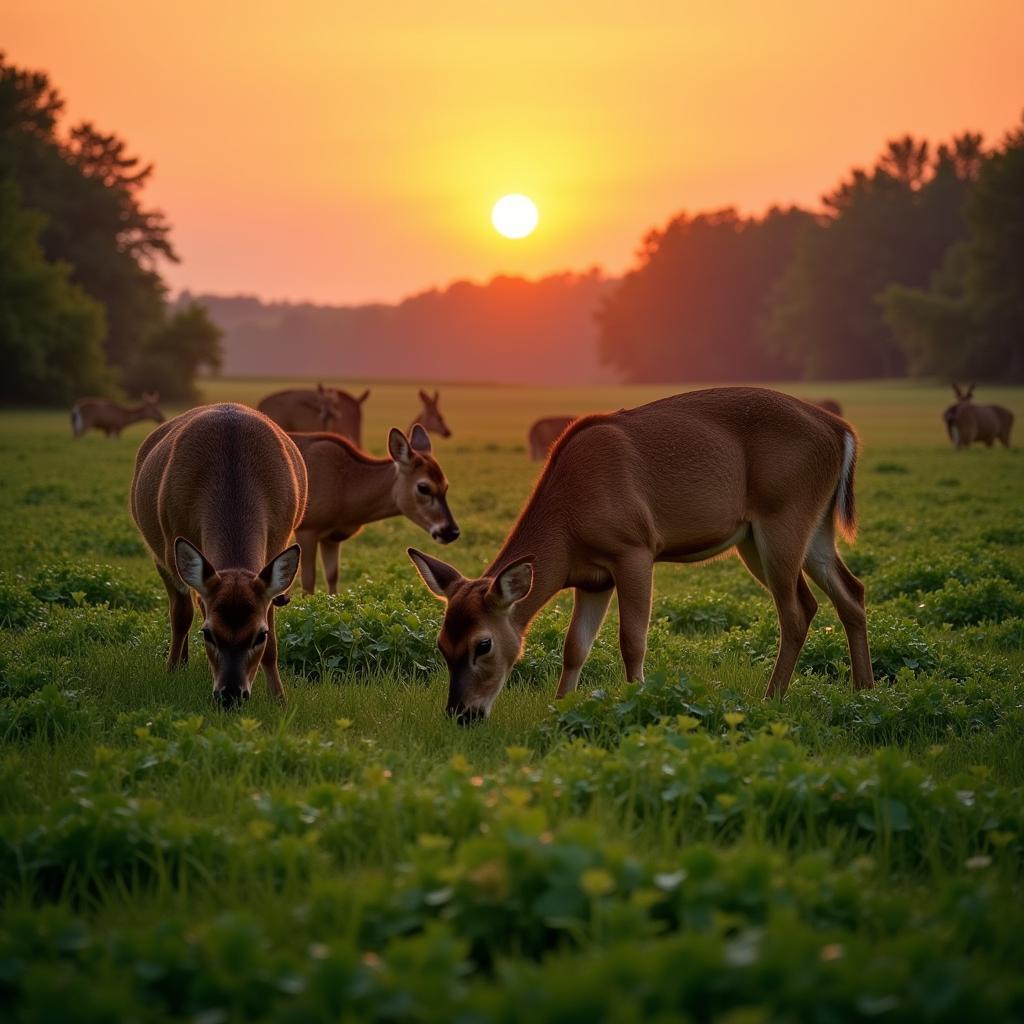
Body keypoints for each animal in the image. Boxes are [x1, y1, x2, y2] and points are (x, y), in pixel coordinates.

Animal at [129, 403, 303, 708]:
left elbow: (272, 634)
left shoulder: (278, 539)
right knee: (182, 608)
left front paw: (279, 697)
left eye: (259, 635)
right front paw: (171, 670)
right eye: (208, 633)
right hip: (159, 552)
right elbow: (182, 615)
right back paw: (180, 663)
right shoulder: (172, 544)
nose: (230, 694)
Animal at [292, 421, 460, 598]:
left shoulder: (331, 538)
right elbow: (308, 581)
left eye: (446, 486)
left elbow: (332, 576)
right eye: (423, 487)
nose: (451, 531)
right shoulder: (307, 529)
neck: (345, 488)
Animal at [407, 387, 872, 724]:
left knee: (796, 610)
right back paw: (864, 691)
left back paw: (770, 698)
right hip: (804, 530)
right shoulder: (592, 578)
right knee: (849, 592)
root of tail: (842, 430)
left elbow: (632, 640)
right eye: (441, 643)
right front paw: (561, 709)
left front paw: (638, 702)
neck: (569, 523)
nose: (462, 714)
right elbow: (575, 646)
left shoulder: (633, 549)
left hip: (782, 517)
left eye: (482, 644)